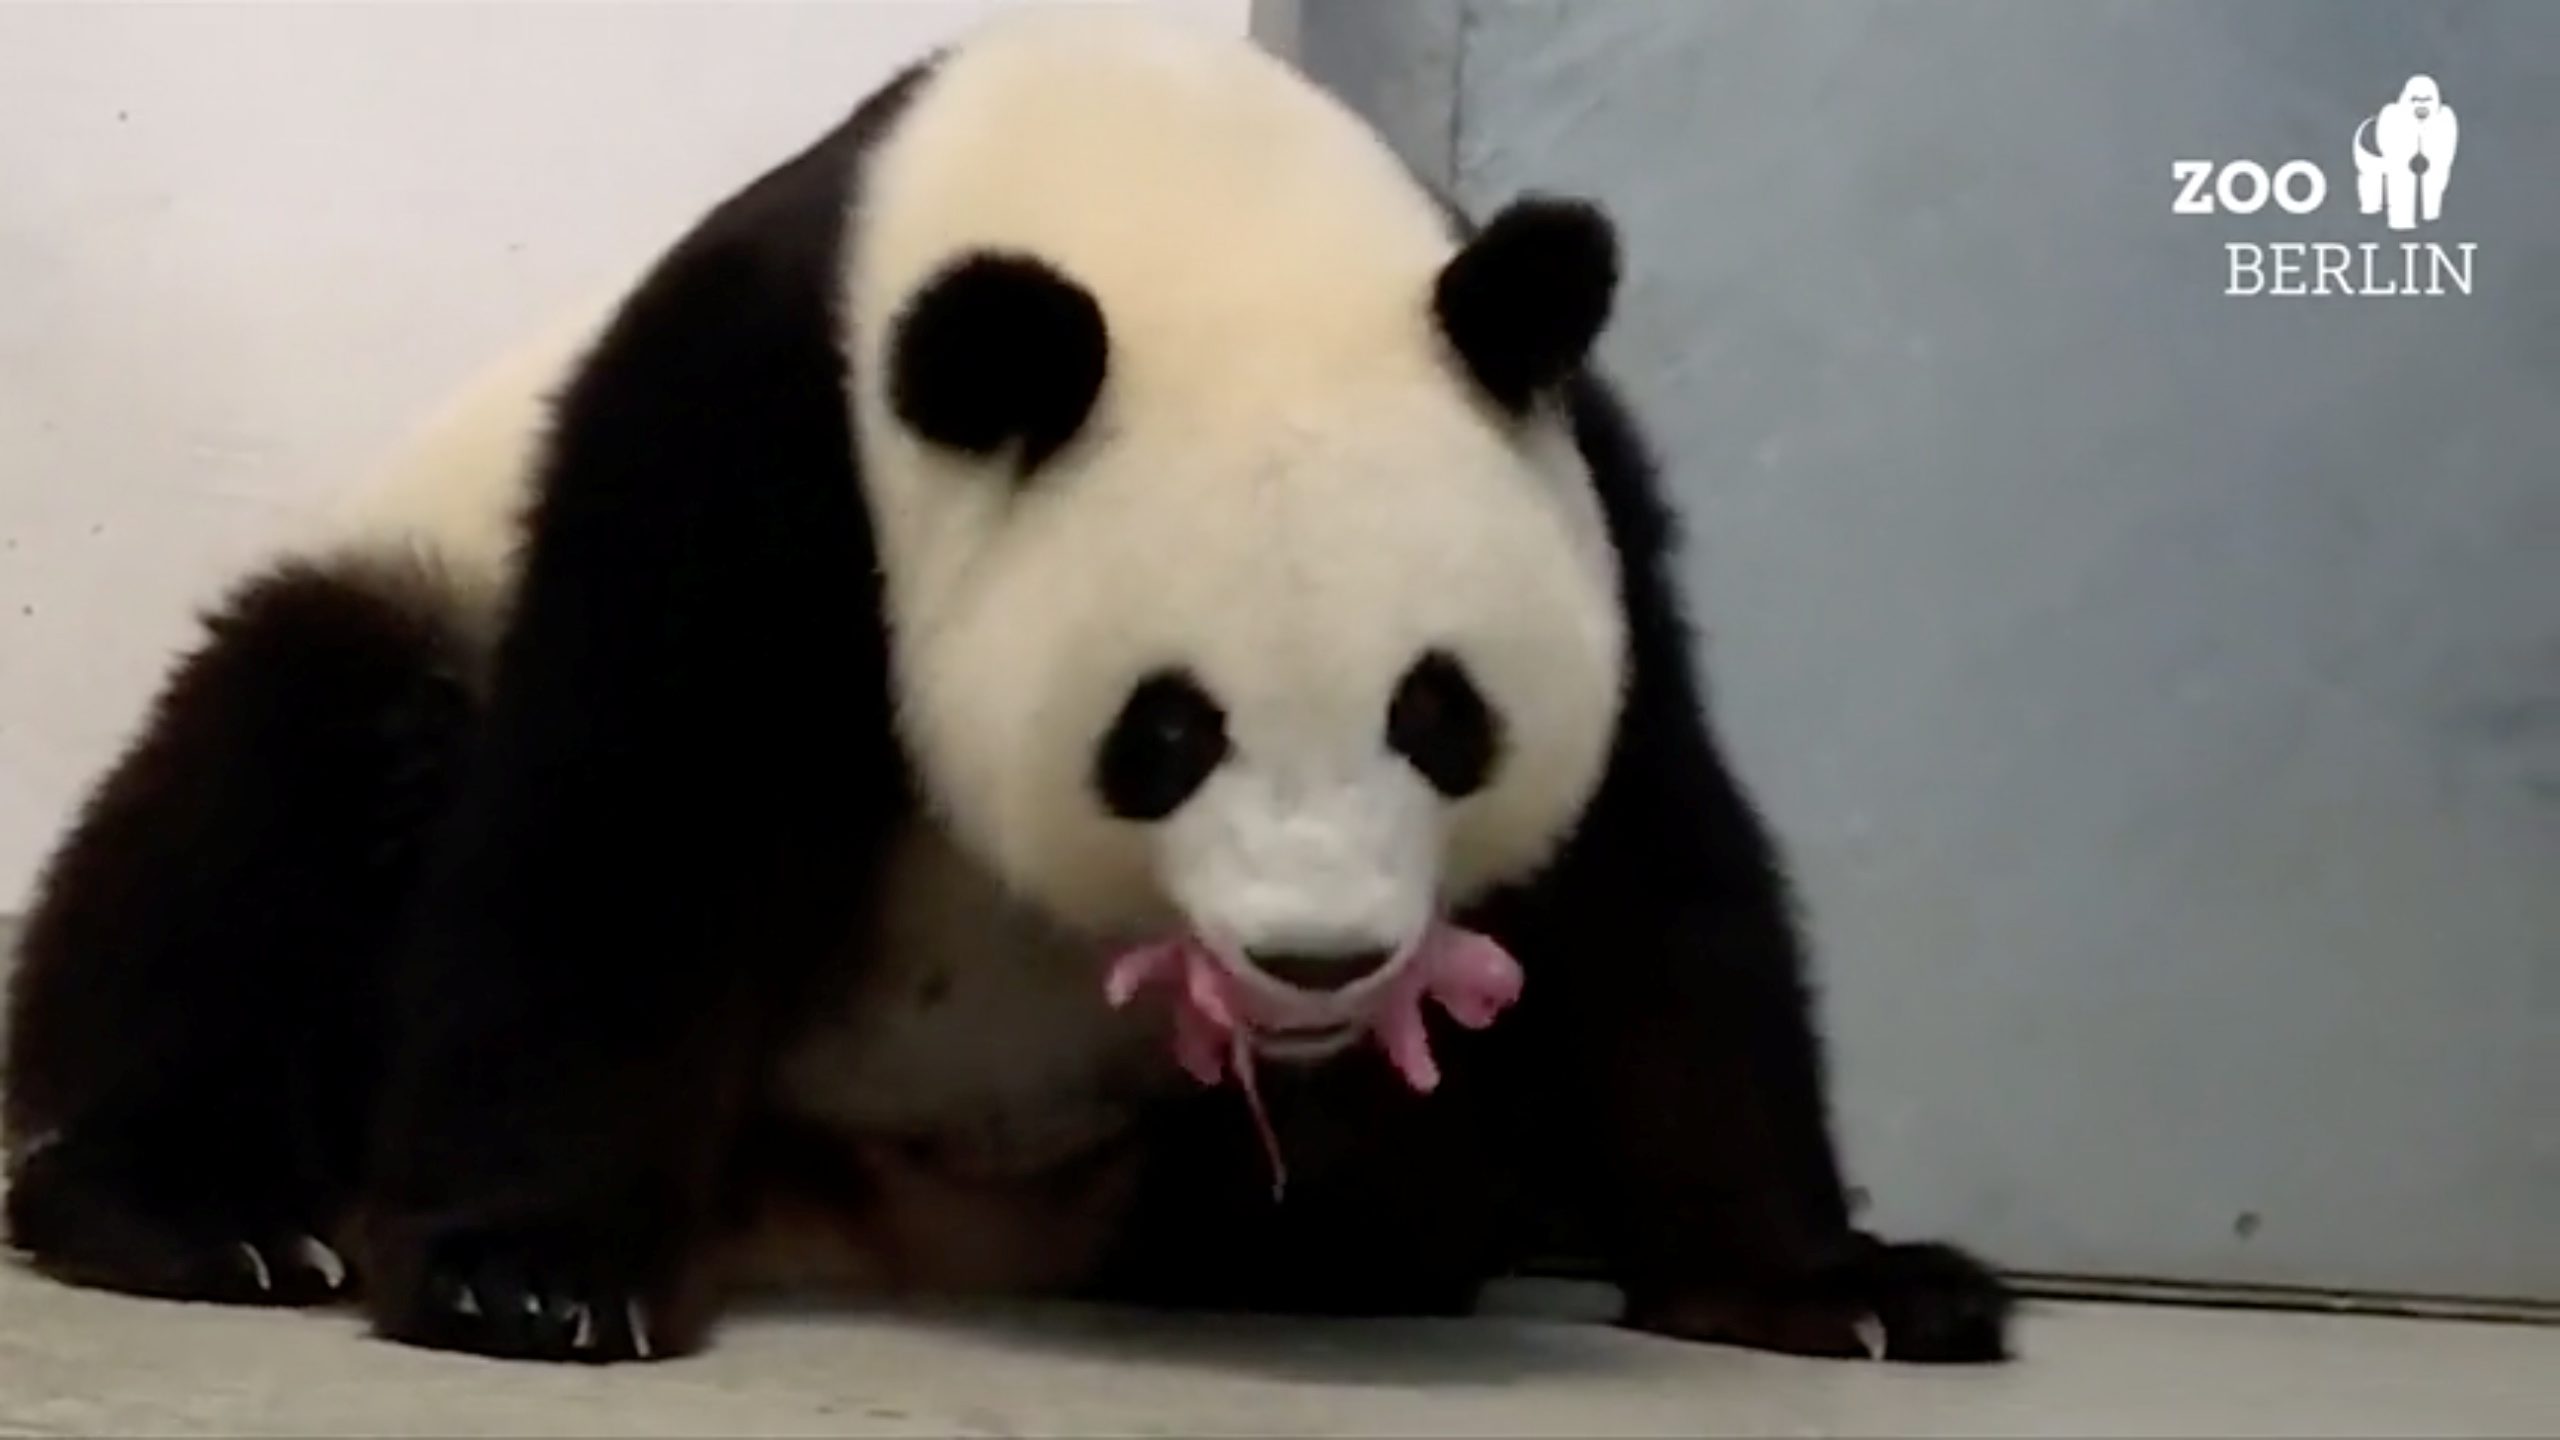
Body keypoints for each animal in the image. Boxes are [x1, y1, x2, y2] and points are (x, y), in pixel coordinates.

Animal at [1, 7, 2011, 1367]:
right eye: (1168, 731)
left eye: (1440, 715)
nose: (1320, 966)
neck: (1151, 176)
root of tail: (896, 1233)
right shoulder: (769, 436)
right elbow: (633, 810)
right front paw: (530, 1272)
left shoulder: (1581, 480)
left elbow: (1656, 879)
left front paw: (1846, 1286)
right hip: (405, 599)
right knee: (273, 807)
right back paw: (207, 1217)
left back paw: (1287, 1242)